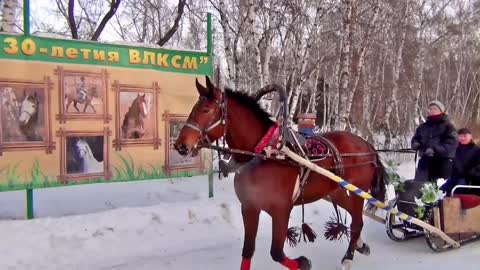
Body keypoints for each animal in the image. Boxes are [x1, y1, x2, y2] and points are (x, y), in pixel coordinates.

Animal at [174, 75, 388, 270]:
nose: (180, 146)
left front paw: (302, 262)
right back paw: (360, 245)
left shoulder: (281, 210)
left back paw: (348, 258)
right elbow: (248, 250)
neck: (265, 153)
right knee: (355, 221)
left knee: (357, 223)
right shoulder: (250, 207)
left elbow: (276, 252)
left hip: (356, 193)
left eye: (206, 110)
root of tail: (366, 145)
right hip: (339, 193)